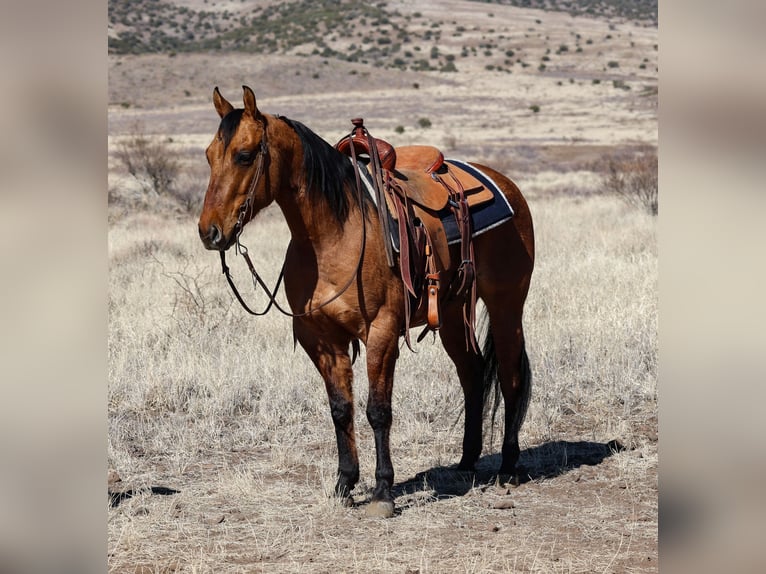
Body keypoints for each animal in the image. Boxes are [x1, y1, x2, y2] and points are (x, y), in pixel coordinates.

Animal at [198, 86, 536, 520]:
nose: (209, 232)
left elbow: (378, 411)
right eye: (209, 155)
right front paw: (344, 484)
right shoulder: (321, 339)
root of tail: (504, 183)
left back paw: (508, 467)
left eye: (244, 155)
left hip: (507, 305)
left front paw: (382, 491)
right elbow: (341, 409)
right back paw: (466, 460)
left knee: (510, 377)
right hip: (451, 313)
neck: (333, 234)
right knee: (473, 373)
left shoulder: (382, 332)